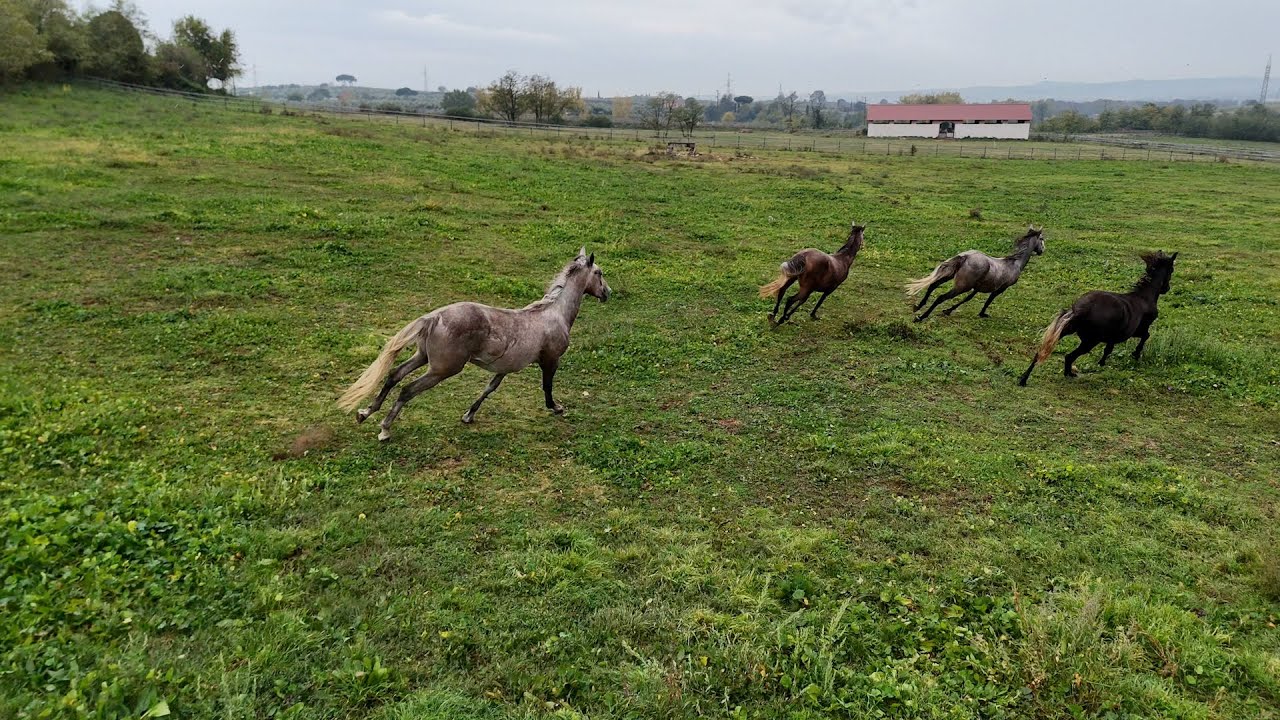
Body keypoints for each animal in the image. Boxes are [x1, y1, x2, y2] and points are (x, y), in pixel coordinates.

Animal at [338, 248, 611, 441]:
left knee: (394, 375)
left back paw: (364, 413)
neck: (554, 314)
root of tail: (434, 316)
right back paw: (384, 429)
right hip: (443, 369)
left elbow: (489, 388)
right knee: (407, 389)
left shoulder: (506, 367)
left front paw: (468, 415)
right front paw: (557, 408)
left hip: (423, 357)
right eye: (599, 273)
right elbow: (547, 387)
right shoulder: (550, 360)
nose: (607, 293)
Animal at [905, 226, 1046, 322]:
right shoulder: (1000, 289)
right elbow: (988, 300)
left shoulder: (977, 287)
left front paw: (948, 311)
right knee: (941, 297)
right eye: (1042, 239)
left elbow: (968, 298)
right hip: (961, 286)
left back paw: (917, 307)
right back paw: (920, 317)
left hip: (950, 277)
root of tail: (966, 256)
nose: (1042, 251)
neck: (1015, 262)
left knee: (932, 286)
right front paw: (982, 314)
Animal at [1018, 251, 1178, 386]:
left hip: (1066, 330)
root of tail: (1080, 310)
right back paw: (1068, 374)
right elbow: (1145, 336)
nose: (1167, 289)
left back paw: (1024, 379)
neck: (1144, 297)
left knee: (1041, 353)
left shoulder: (1115, 336)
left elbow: (1109, 348)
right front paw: (1135, 354)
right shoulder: (1137, 330)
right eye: (1171, 270)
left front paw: (1103, 361)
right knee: (1069, 356)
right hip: (1090, 341)